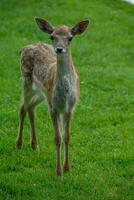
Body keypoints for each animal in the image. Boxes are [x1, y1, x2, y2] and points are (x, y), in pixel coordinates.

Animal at [15, 17, 89, 177]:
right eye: (52, 36)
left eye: (70, 38)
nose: (59, 49)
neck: (65, 94)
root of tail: (24, 48)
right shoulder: (54, 108)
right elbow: (57, 138)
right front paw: (59, 172)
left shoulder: (69, 108)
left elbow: (67, 137)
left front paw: (68, 168)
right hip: (26, 81)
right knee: (22, 107)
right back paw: (19, 144)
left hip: (42, 93)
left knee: (31, 107)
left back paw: (34, 144)